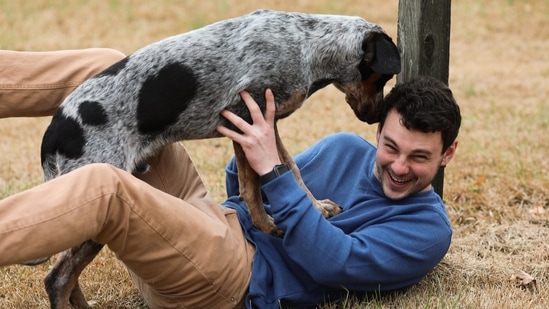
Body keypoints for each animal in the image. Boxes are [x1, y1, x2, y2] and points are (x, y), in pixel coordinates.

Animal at [36, 9, 400, 308]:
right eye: (384, 77)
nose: (377, 117)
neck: (306, 45)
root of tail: (54, 129)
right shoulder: (246, 118)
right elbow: (254, 184)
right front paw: (269, 225)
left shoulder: (267, 123)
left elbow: (290, 168)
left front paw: (315, 206)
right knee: (57, 279)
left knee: (68, 276)